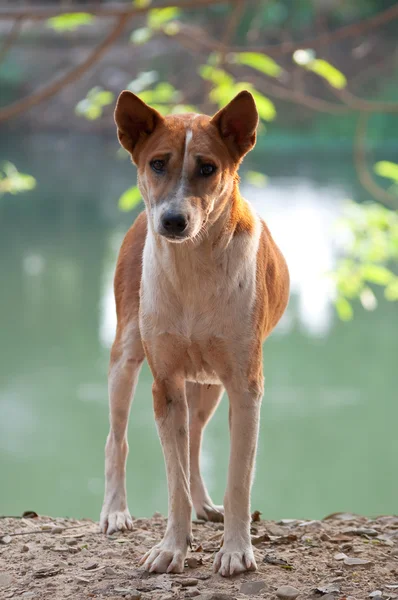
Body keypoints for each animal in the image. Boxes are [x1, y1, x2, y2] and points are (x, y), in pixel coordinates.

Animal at [100, 89, 290, 576]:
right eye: (157, 163)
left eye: (207, 167)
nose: (172, 221)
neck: (193, 269)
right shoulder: (165, 384)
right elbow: (174, 484)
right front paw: (172, 548)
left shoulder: (244, 386)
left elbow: (238, 479)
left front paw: (236, 550)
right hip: (127, 358)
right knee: (117, 439)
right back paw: (115, 511)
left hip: (208, 386)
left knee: (195, 441)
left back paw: (206, 507)